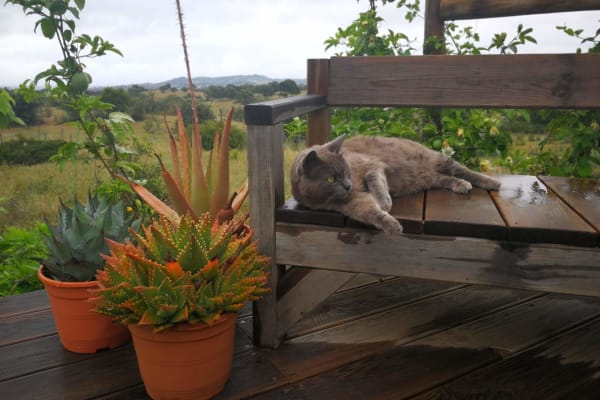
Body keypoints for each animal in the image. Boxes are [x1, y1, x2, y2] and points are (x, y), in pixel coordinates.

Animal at [290, 135, 502, 234]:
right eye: (331, 179)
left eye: (347, 172)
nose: (348, 186)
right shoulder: (350, 203)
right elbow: (370, 213)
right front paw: (391, 225)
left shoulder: (371, 165)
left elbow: (376, 181)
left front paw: (384, 201)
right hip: (429, 177)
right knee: (443, 178)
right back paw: (460, 185)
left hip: (437, 159)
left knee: (462, 169)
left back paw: (490, 182)